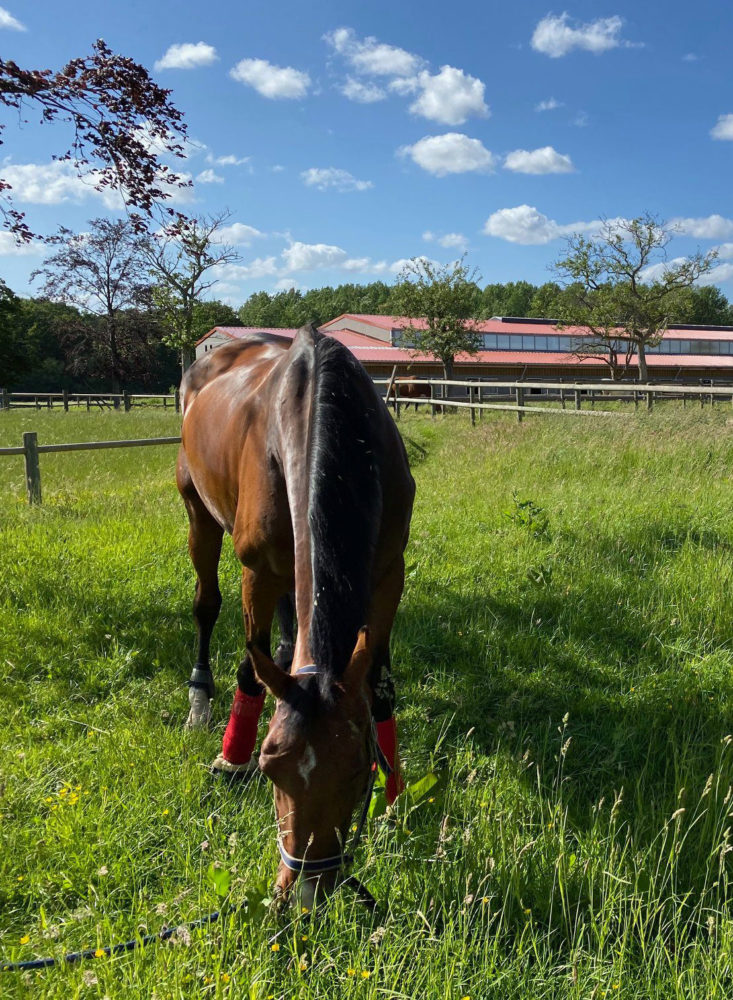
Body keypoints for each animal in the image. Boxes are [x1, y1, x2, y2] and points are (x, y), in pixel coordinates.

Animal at [176, 324, 415, 904]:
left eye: (357, 770)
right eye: (270, 766)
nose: (306, 890)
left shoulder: (388, 573)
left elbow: (379, 683)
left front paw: (395, 793)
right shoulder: (258, 570)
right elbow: (251, 663)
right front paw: (231, 759)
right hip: (197, 511)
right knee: (207, 607)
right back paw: (200, 698)